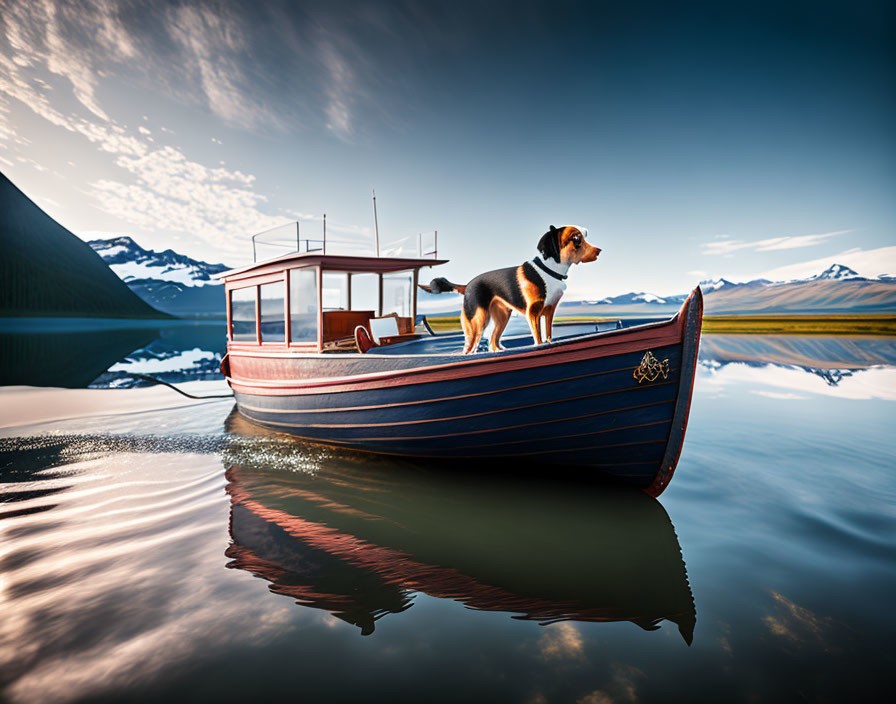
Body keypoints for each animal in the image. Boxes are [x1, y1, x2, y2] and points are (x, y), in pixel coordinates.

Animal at [420, 227, 600, 352]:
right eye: (576, 238)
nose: (599, 250)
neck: (549, 270)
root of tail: (468, 285)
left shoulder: (549, 311)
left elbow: (548, 335)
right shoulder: (533, 313)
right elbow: (538, 339)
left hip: (501, 317)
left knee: (493, 341)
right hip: (477, 322)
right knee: (470, 350)